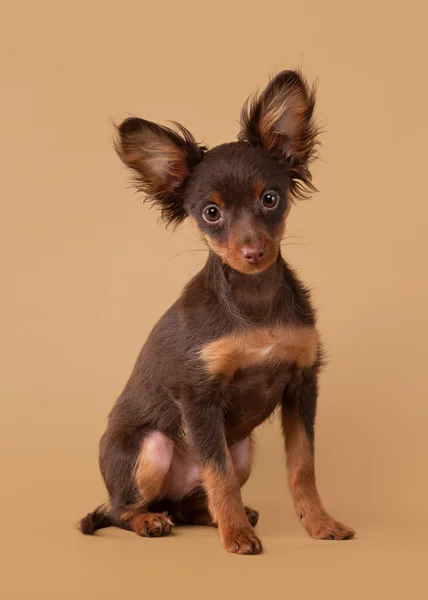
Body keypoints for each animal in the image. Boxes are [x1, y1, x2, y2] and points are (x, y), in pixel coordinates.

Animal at [79, 69, 354, 552]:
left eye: (271, 199)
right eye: (211, 213)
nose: (252, 251)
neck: (253, 298)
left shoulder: (302, 384)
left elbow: (303, 466)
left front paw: (320, 523)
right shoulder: (199, 397)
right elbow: (219, 474)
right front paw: (238, 537)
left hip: (243, 449)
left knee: (190, 501)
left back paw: (215, 514)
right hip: (152, 447)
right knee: (120, 510)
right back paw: (152, 521)